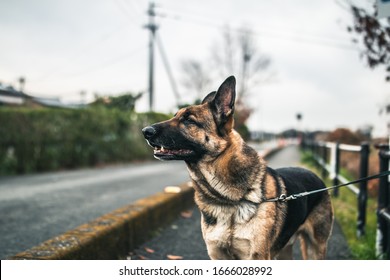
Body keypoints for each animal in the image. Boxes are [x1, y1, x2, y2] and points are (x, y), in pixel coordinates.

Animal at [142, 76, 334, 260]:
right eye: (175, 116)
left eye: (189, 120)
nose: (145, 131)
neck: (227, 199)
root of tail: (314, 174)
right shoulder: (218, 256)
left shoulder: (257, 257)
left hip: (315, 249)